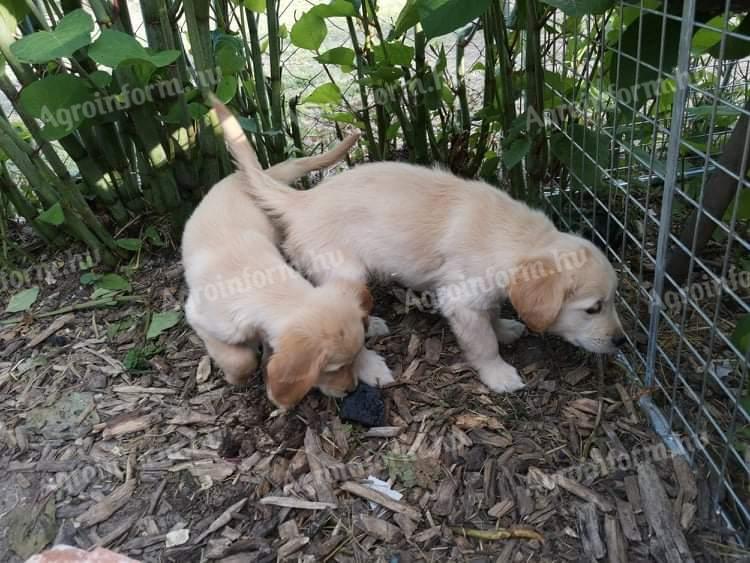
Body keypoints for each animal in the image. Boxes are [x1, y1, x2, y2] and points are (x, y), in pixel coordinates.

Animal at [179, 100, 384, 410]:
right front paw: (237, 375)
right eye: (332, 369)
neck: (267, 287)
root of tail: (263, 175)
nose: (351, 390)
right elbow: (240, 359)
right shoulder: (199, 316)